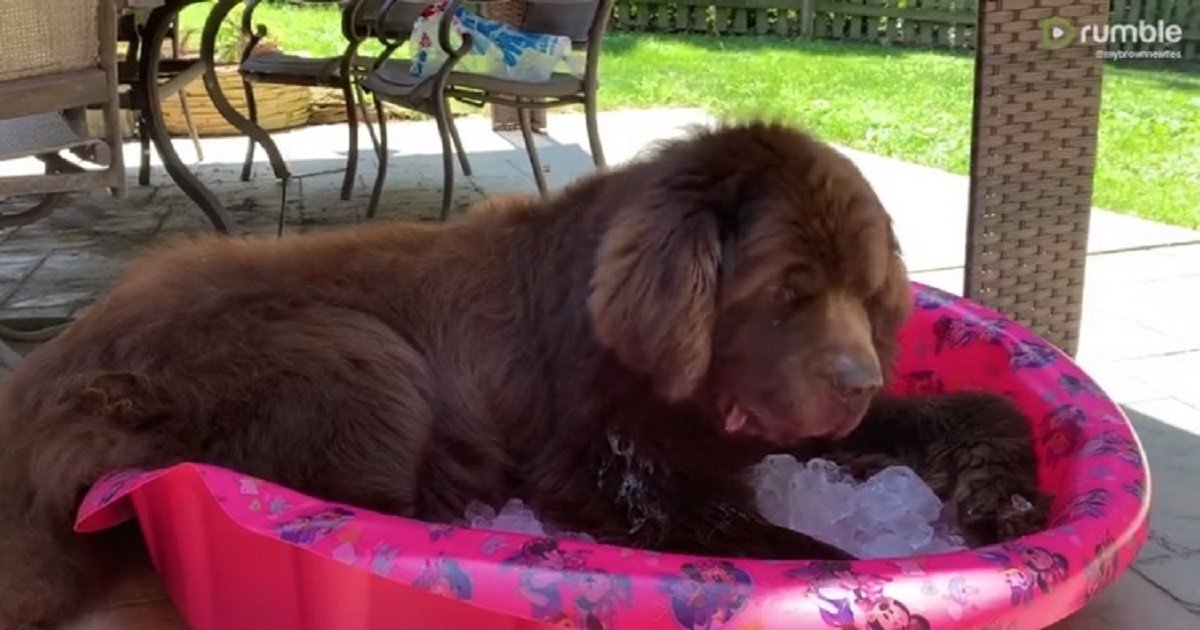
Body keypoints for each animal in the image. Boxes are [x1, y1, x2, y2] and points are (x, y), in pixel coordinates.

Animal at [0, 120, 1041, 624]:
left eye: (866, 292)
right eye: (788, 291)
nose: (856, 379)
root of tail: (45, 378)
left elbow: (979, 408)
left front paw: (1003, 500)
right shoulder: (602, 473)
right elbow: (800, 553)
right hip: (362, 357)